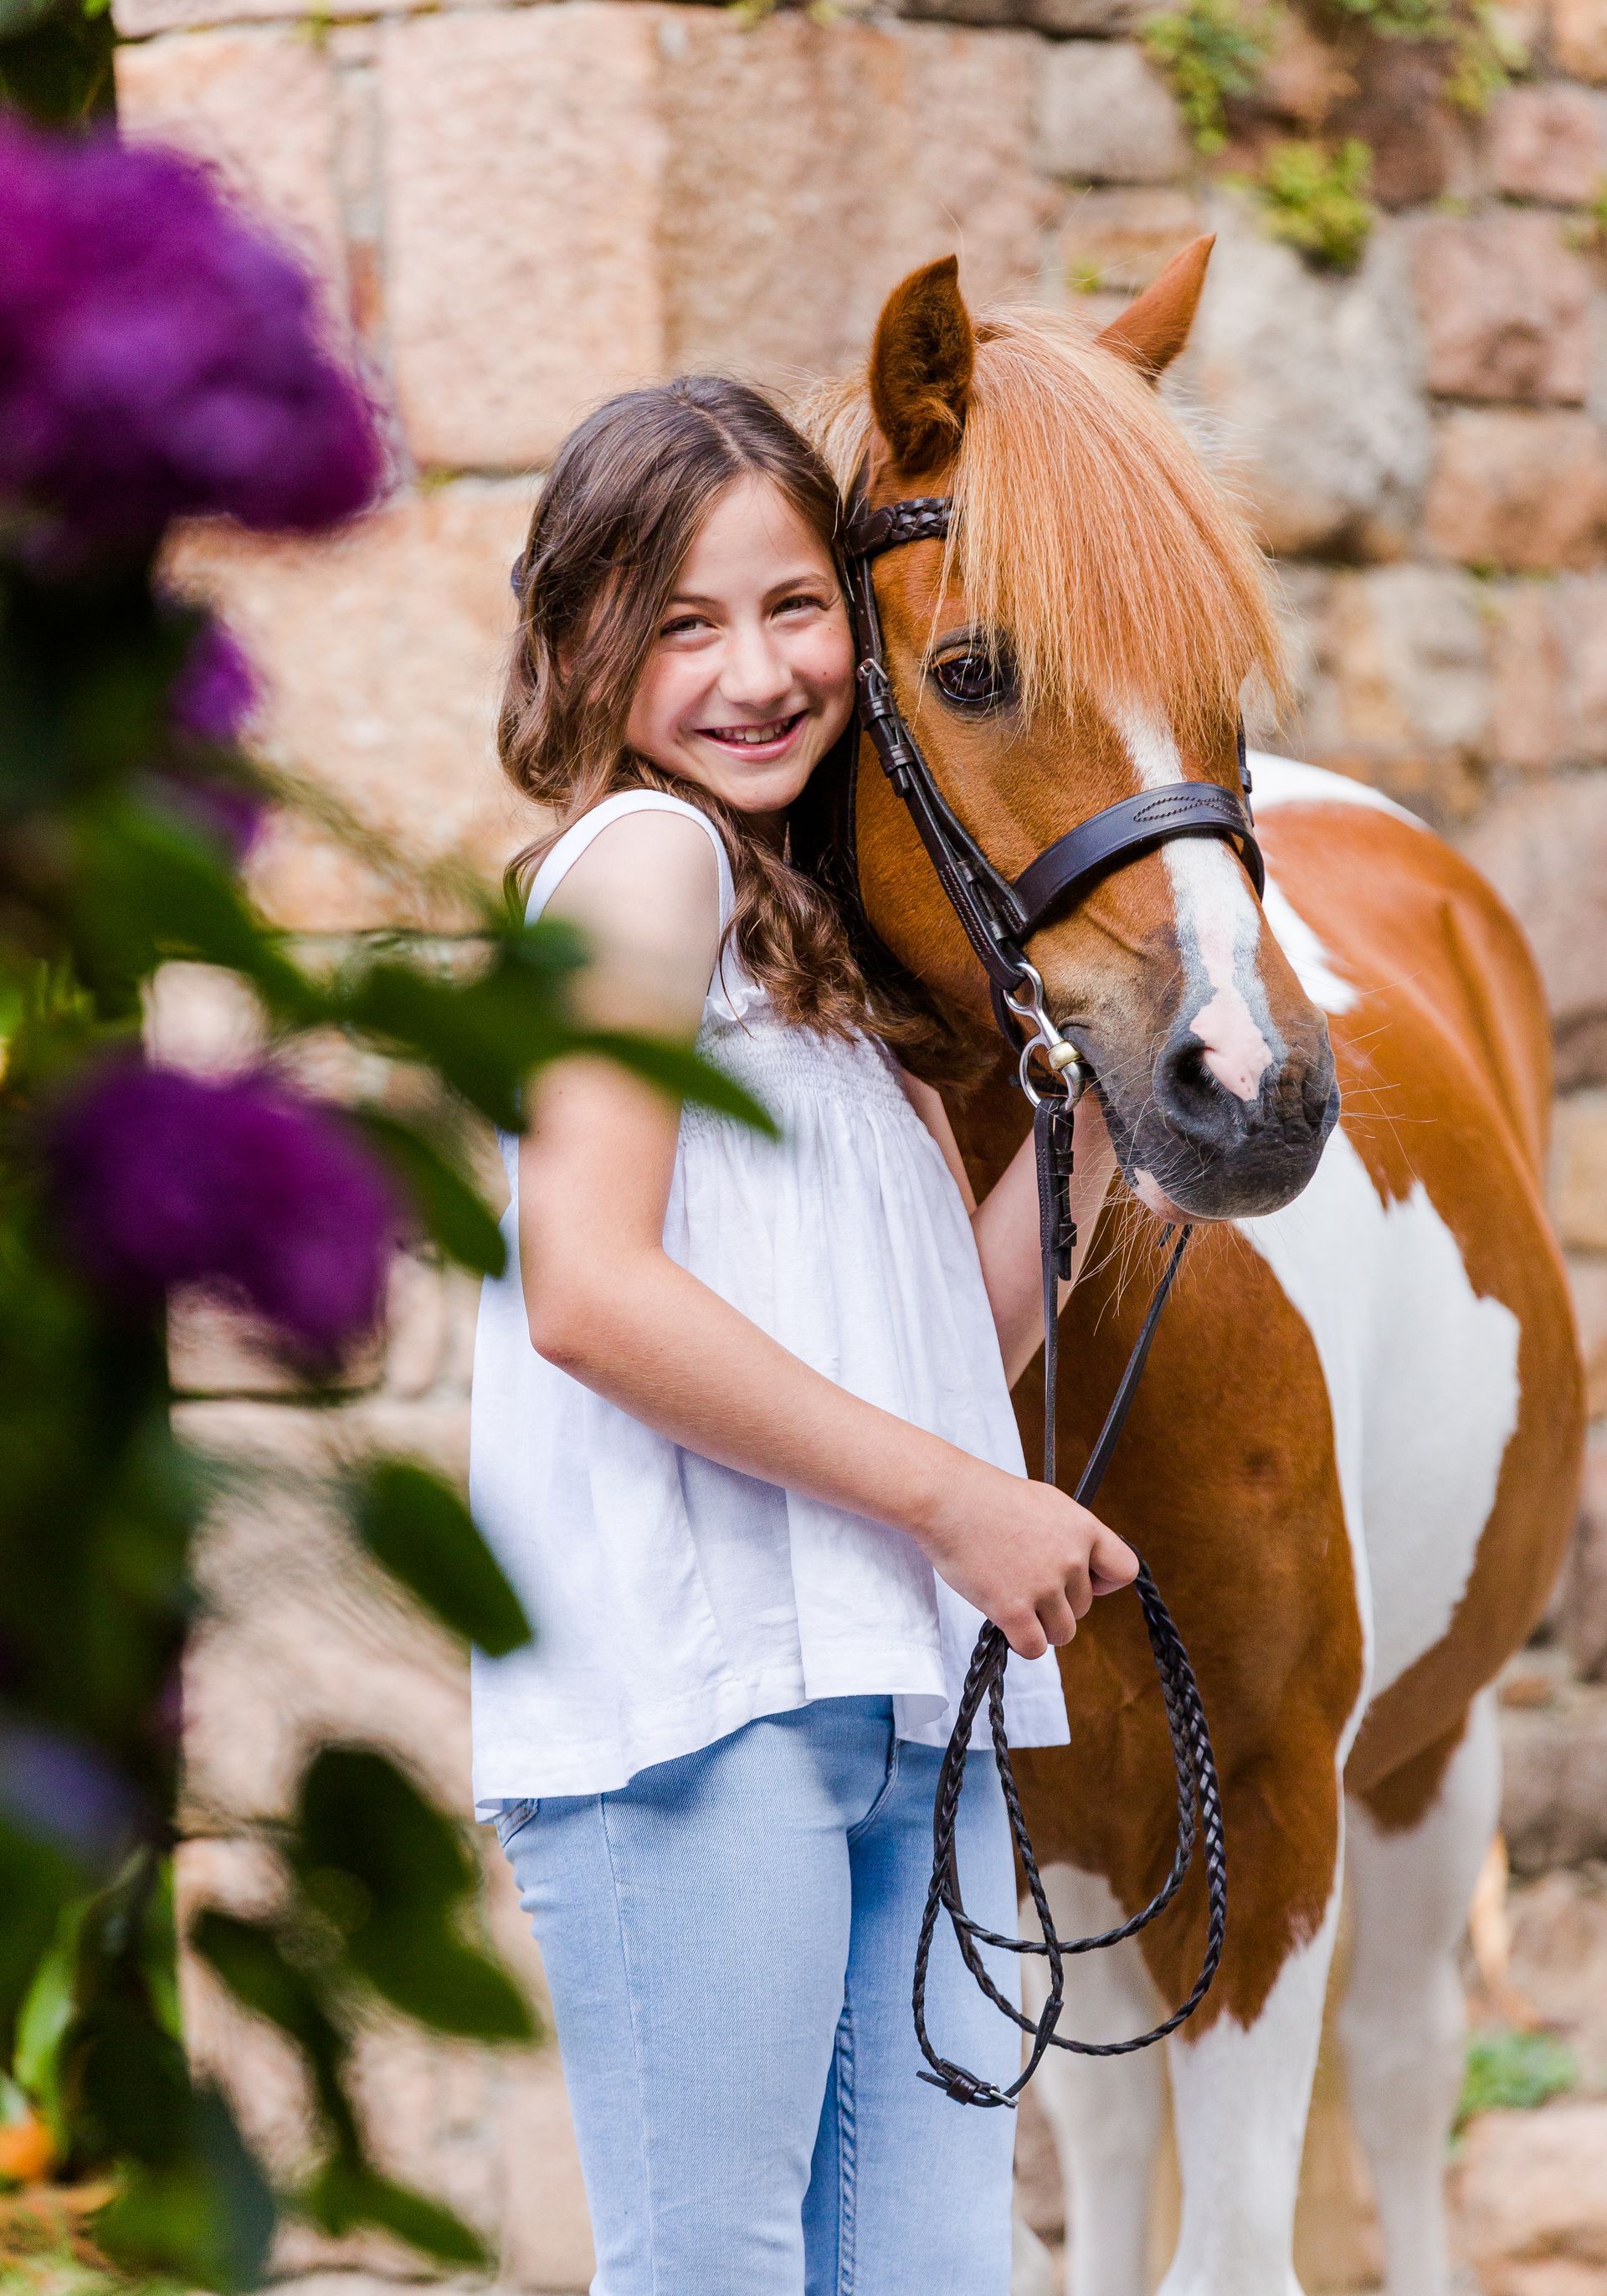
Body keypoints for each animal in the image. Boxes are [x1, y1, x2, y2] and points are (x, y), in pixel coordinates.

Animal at [800, 242, 1584, 2296]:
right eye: (972, 668)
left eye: (1229, 678)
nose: (1259, 1093)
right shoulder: (1033, 1839)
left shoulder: (1283, 1813)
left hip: (1427, 1752)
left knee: (1401, 2068)